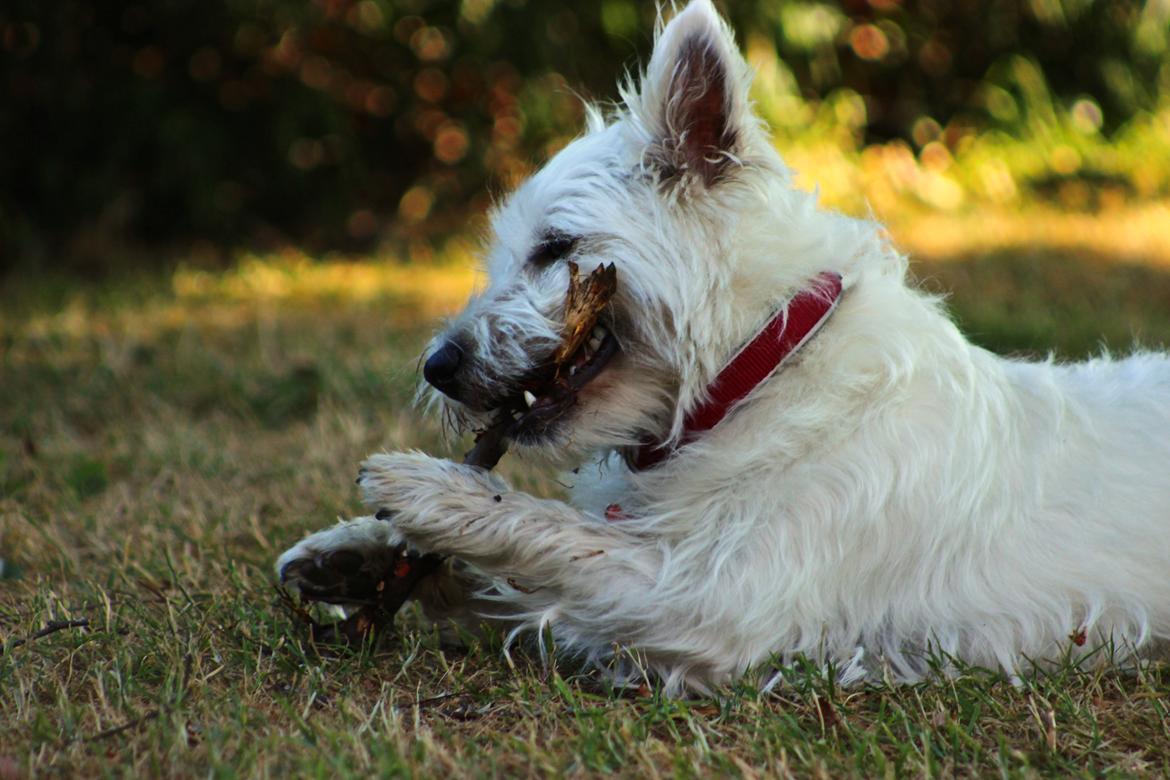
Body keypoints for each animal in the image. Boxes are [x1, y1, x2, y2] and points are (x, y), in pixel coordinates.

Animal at [278, 0, 1170, 696]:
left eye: (555, 248)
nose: (440, 366)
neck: (757, 376)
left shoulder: (720, 599)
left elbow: (555, 535)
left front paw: (432, 492)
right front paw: (355, 554)